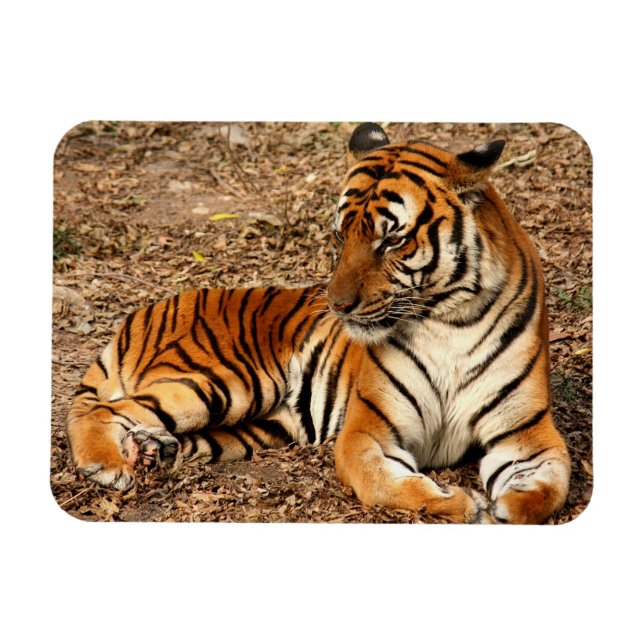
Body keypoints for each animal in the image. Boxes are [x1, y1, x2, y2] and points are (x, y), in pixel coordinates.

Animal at [66, 122, 571, 524]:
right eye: (340, 235)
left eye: (392, 241)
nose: (338, 306)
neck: (450, 321)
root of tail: (141, 313)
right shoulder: (368, 428)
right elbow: (384, 482)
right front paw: (463, 504)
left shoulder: (526, 432)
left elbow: (551, 487)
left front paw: (504, 508)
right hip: (224, 381)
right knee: (101, 409)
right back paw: (106, 465)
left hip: (258, 426)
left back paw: (153, 451)